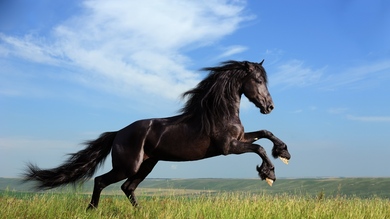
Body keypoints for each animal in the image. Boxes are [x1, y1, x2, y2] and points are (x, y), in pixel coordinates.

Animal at [24, 59, 290, 209]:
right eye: (258, 80)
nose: (269, 107)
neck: (218, 113)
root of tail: (118, 133)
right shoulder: (228, 147)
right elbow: (259, 147)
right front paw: (269, 174)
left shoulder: (239, 139)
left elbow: (265, 133)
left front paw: (284, 152)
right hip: (128, 166)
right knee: (102, 181)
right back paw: (91, 210)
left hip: (147, 165)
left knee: (128, 188)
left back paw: (140, 212)